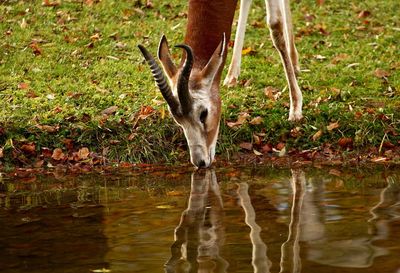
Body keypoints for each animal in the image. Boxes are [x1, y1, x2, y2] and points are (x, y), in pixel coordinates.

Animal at [139, 0, 302, 167]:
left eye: (203, 113)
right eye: (178, 120)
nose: (200, 162)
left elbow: (275, 27)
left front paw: (296, 108)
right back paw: (233, 76)